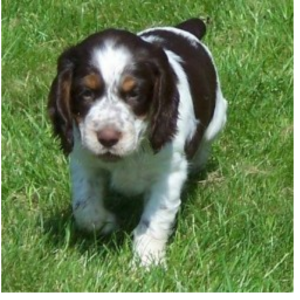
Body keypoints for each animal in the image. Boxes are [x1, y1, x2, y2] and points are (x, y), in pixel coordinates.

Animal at [48, 18, 227, 266]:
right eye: (86, 92)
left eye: (135, 93)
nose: (107, 138)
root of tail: (183, 30)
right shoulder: (84, 160)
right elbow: (84, 207)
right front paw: (104, 223)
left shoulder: (168, 174)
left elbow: (155, 217)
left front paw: (148, 261)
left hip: (218, 117)